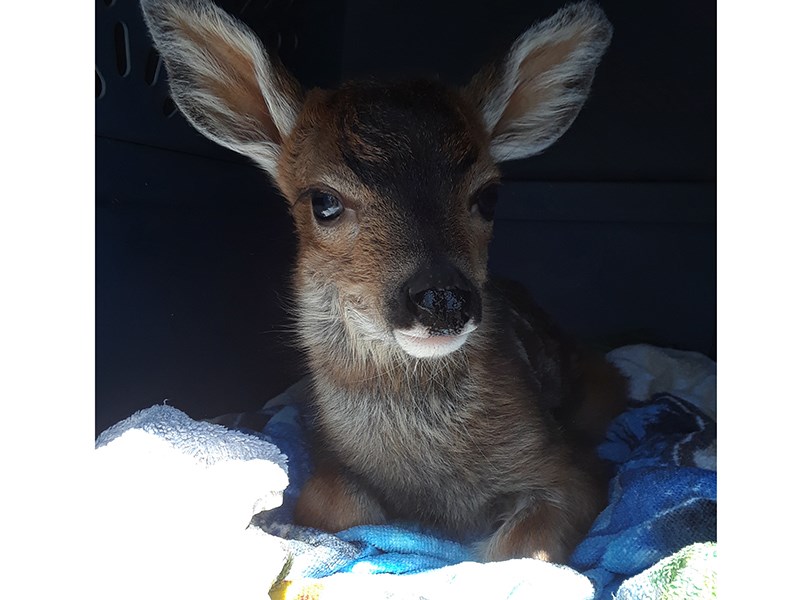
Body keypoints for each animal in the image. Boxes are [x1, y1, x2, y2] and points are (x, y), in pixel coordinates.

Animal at [142, 0, 632, 564]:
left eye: (488, 196)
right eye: (323, 201)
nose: (442, 297)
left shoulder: (569, 463)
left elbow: (522, 548)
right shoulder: (331, 460)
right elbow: (328, 504)